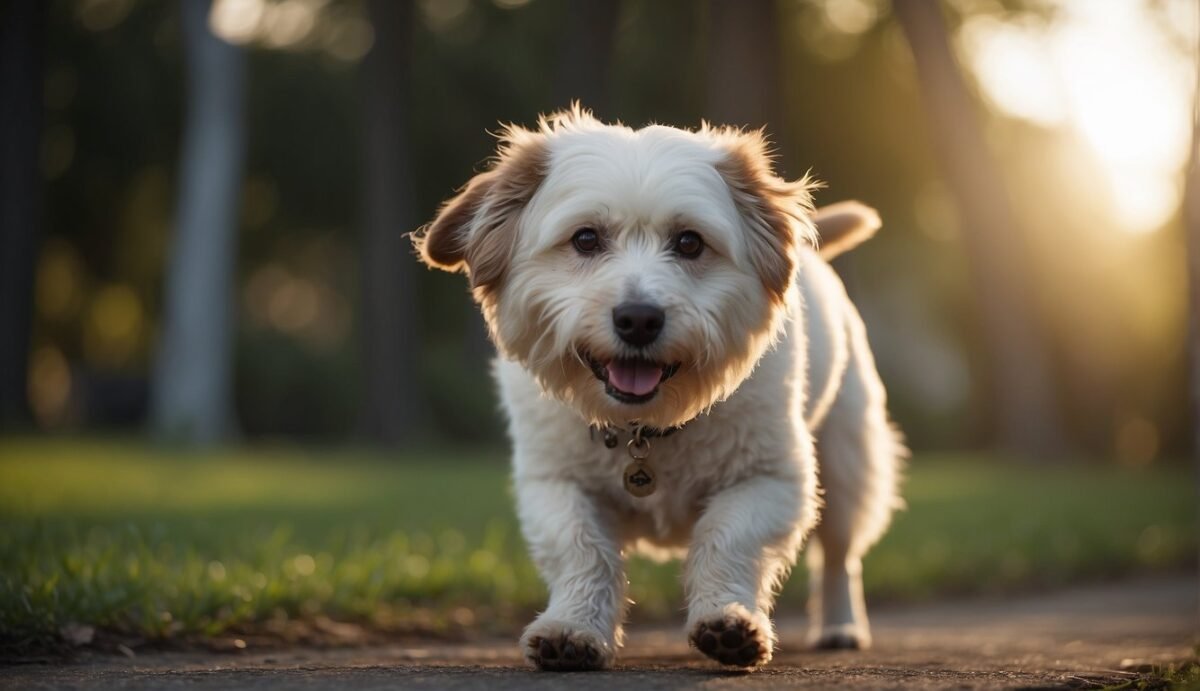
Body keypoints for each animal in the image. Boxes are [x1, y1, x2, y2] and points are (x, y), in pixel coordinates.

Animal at [412, 106, 902, 671]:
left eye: (689, 242)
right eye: (585, 239)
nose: (639, 318)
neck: (643, 428)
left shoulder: (771, 480)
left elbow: (727, 538)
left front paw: (728, 620)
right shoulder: (555, 486)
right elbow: (582, 550)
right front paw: (573, 627)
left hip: (847, 465)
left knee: (840, 556)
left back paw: (841, 625)